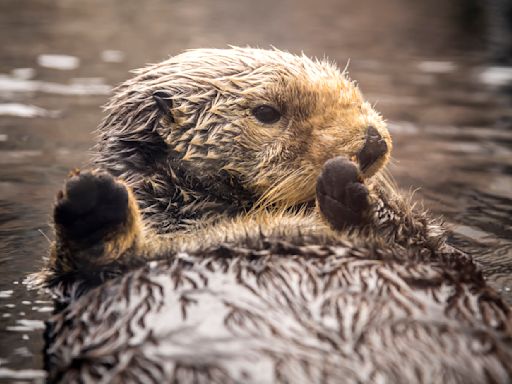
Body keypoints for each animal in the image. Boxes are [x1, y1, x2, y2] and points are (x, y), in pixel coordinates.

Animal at [34, 48, 510, 384]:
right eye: (267, 112)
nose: (372, 141)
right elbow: (68, 274)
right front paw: (92, 200)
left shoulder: (437, 252)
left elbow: (435, 245)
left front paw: (354, 191)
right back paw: (94, 206)